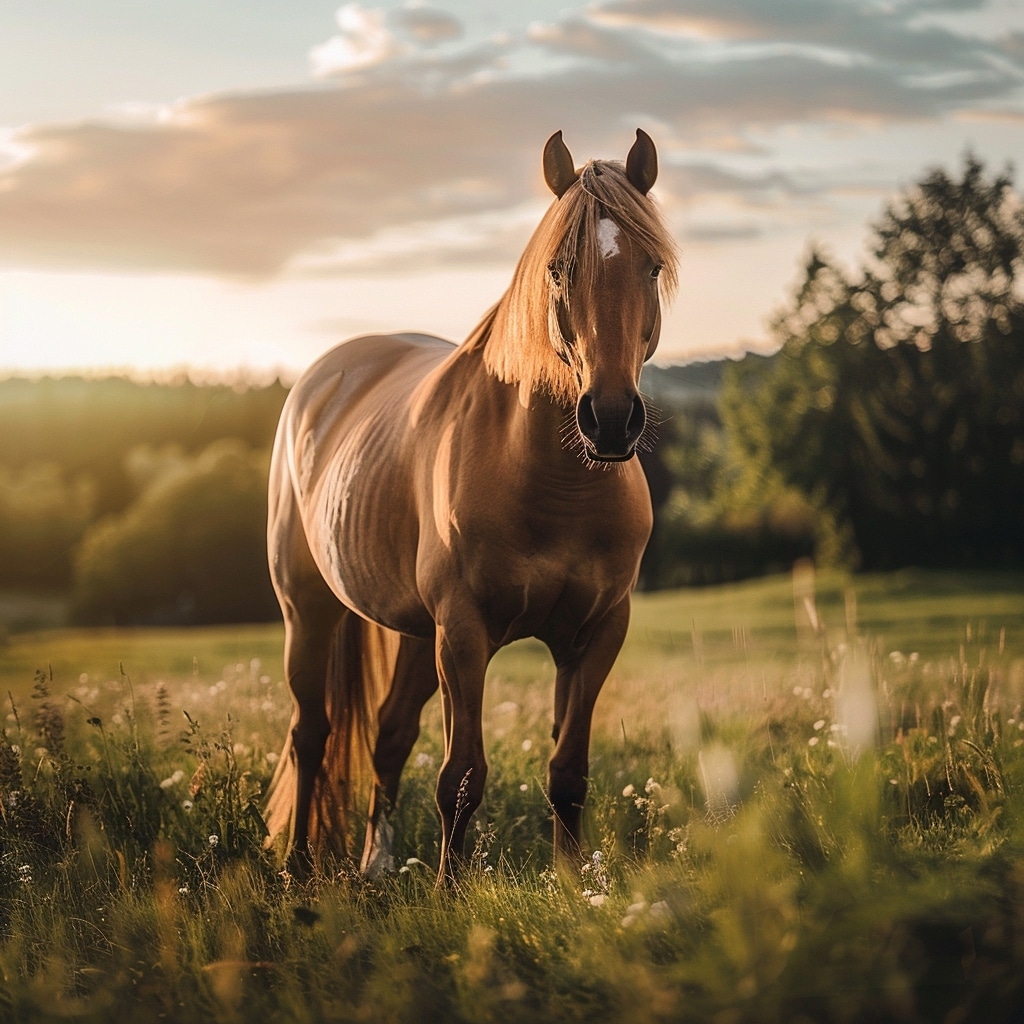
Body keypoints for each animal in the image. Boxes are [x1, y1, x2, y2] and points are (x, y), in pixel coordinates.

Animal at [264, 125, 679, 880]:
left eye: (651, 265)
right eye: (558, 270)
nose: (610, 420)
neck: (553, 483)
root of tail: (324, 378)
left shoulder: (597, 634)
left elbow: (568, 772)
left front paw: (570, 886)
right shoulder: (462, 632)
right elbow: (461, 777)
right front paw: (449, 892)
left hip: (411, 631)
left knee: (389, 736)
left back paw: (375, 863)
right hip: (307, 611)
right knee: (312, 733)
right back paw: (299, 865)